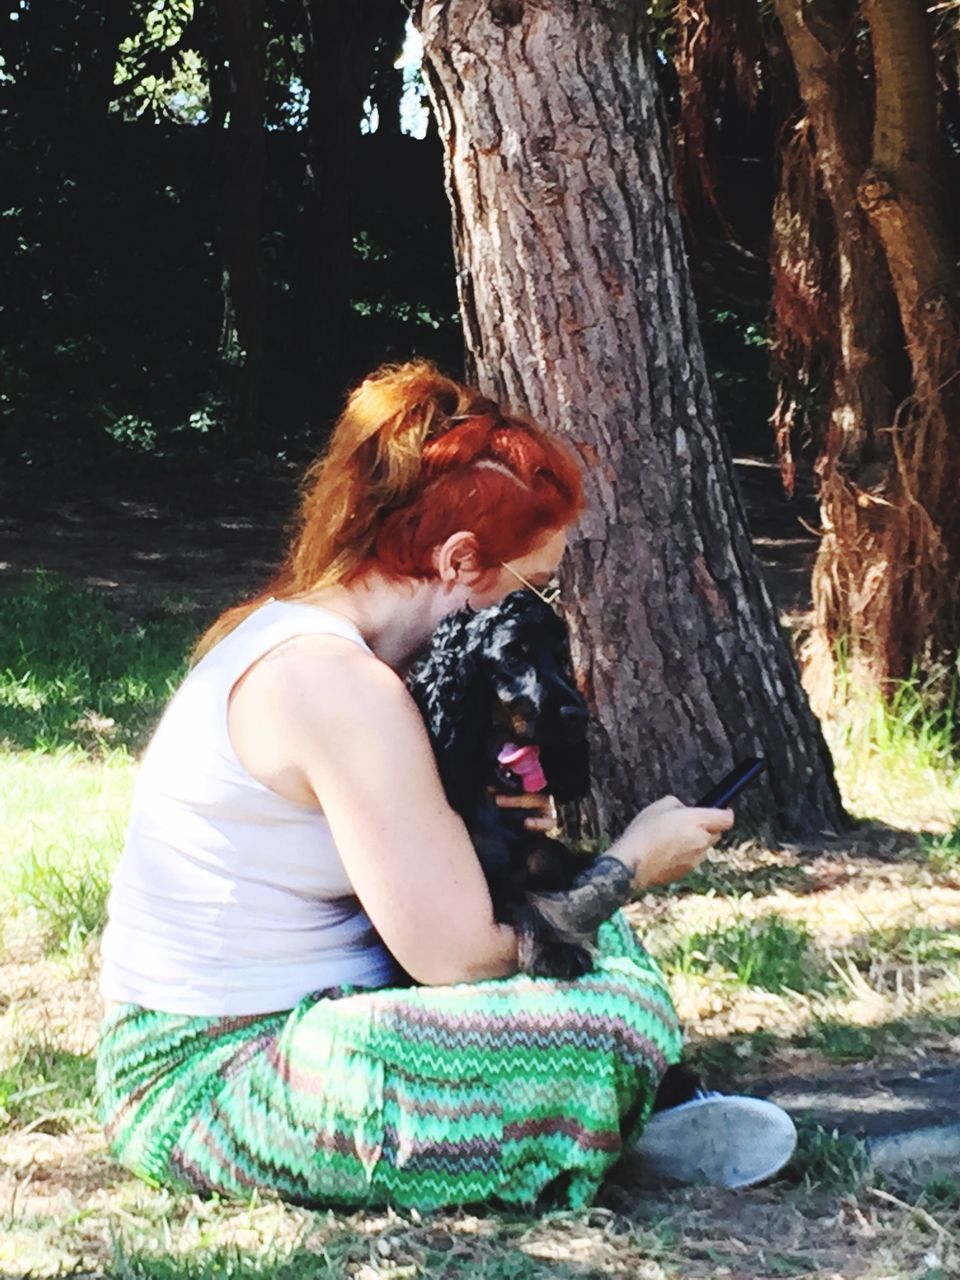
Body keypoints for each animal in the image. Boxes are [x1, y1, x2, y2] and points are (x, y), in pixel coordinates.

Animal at [407, 588, 609, 977]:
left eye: (561, 657)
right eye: (514, 657)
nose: (577, 715)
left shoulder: (541, 851)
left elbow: (550, 862)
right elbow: (520, 896)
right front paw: (555, 951)